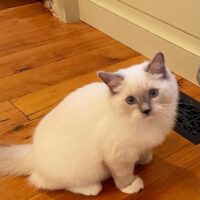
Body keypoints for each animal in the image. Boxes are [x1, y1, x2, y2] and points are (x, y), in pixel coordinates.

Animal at [0, 52, 178, 195]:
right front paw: (130, 186)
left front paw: (144, 160)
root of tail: (32, 152)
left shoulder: (144, 144)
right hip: (82, 168)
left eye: (153, 93)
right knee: (46, 182)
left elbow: (145, 153)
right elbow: (123, 175)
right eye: (131, 100)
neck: (148, 123)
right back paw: (92, 188)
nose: (146, 111)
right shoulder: (117, 156)